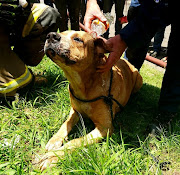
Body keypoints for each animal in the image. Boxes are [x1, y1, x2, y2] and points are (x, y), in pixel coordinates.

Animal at [40, 30, 143, 170]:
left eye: (77, 39)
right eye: (62, 32)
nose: (50, 35)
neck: (84, 86)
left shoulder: (105, 128)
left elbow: (76, 141)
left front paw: (54, 156)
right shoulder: (75, 110)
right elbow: (66, 124)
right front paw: (55, 140)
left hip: (139, 79)